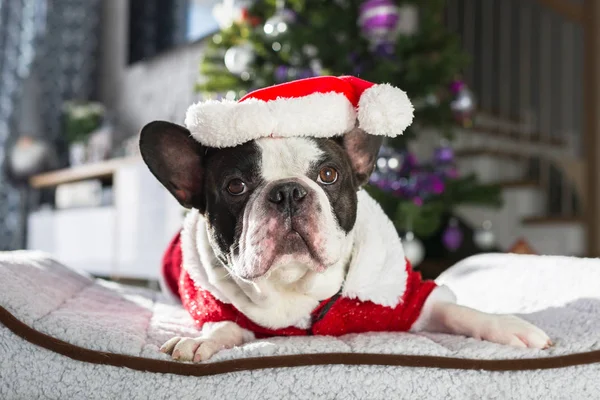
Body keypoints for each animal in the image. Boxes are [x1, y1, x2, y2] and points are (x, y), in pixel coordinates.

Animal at [138, 75, 552, 362]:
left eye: (329, 175)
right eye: (236, 186)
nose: (288, 192)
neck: (297, 285)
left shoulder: (408, 301)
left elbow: (455, 310)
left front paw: (509, 326)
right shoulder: (216, 304)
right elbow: (223, 324)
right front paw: (200, 340)